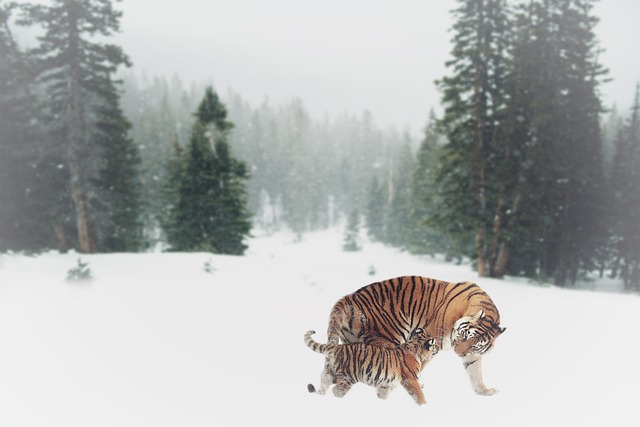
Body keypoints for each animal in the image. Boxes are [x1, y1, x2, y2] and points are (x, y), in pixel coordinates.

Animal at [328, 276, 508, 396]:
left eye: (474, 345)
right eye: (464, 335)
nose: (458, 353)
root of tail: (349, 298)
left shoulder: (473, 355)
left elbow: (475, 372)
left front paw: (484, 392)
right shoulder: (430, 340)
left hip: (352, 342)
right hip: (388, 338)